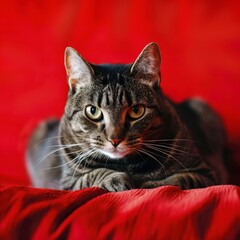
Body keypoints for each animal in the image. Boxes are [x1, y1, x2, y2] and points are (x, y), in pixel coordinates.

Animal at [25, 41, 228, 191]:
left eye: (136, 111)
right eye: (93, 111)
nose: (115, 139)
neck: (126, 164)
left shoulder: (207, 173)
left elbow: (178, 180)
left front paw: (148, 183)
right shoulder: (67, 182)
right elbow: (91, 175)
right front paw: (117, 179)